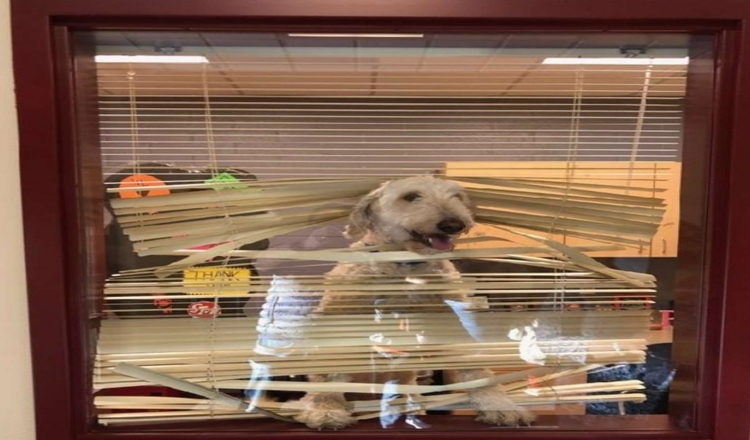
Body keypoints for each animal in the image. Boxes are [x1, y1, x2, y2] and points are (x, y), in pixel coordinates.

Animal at [294, 175, 536, 430]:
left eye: (457, 196)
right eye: (411, 196)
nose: (454, 224)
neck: (406, 267)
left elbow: (477, 372)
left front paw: (500, 406)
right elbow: (328, 376)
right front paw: (325, 410)